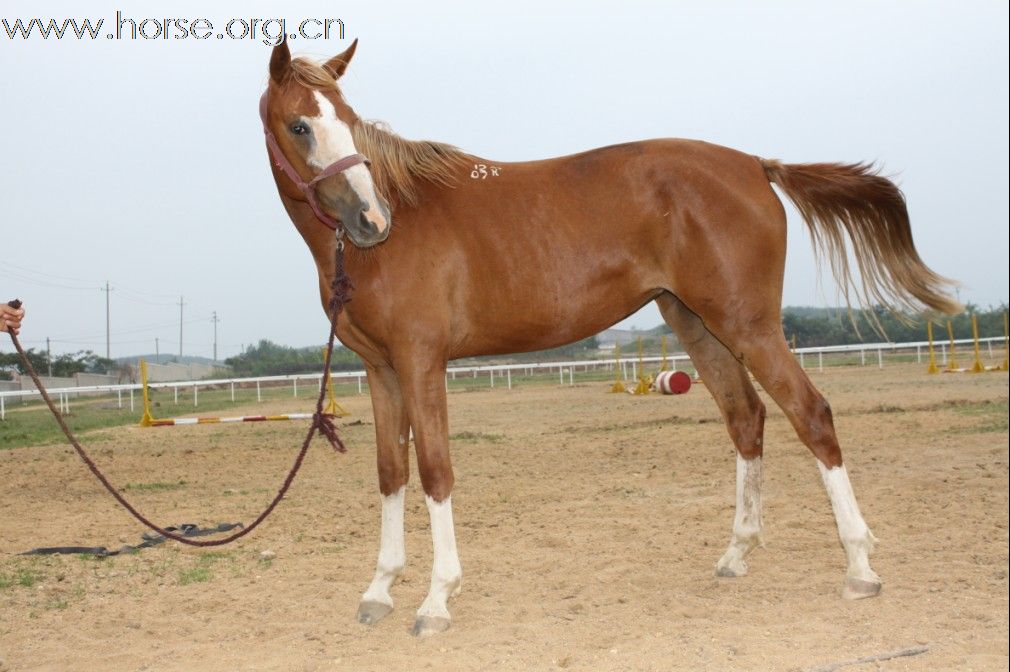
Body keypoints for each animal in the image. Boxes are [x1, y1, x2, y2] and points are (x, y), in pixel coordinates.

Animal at [260, 40, 953, 634]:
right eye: (301, 126)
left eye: (350, 120)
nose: (369, 219)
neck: (388, 239)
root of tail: (756, 166)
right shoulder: (380, 370)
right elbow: (390, 472)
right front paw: (378, 591)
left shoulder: (421, 363)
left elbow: (434, 470)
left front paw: (435, 600)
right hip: (698, 325)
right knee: (746, 417)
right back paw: (736, 554)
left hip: (748, 326)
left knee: (810, 413)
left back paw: (860, 566)